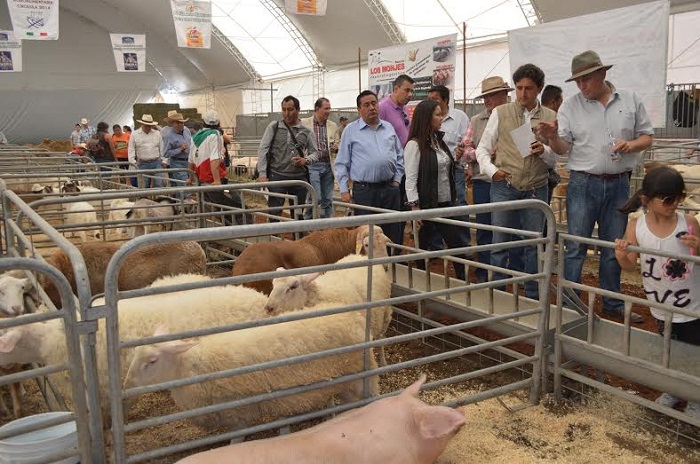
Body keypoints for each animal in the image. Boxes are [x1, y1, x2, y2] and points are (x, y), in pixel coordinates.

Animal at [123, 310, 380, 434]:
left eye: (152, 361)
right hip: (341, 384)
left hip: (364, 379)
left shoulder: (238, 414)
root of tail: (354, 316)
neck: (192, 369)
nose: (126, 386)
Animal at [266, 254, 394, 366]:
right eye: (273, 284)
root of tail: (362, 256)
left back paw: (383, 362)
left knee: (381, 338)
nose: (268, 308)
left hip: (384, 315)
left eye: (293, 286)